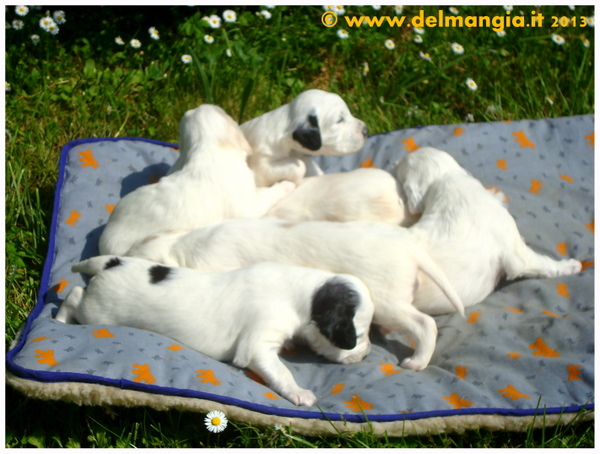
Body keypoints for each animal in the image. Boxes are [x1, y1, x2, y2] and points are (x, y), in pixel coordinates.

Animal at [55, 256, 375, 407]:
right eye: (355, 337)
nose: (367, 353)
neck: (306, 292)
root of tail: (113, 262)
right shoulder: (258, 344)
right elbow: (281, 372)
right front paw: (299, 393)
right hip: (97, 312)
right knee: (74, 294)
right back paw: (58, 320)